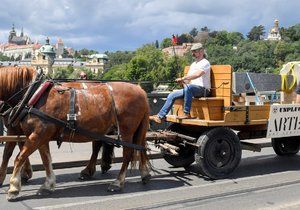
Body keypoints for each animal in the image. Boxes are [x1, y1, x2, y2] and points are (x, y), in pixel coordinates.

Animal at [0, 67, 150, 200]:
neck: (34, 94)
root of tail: (141, 90)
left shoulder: (38, 134)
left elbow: (19, 157)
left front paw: (13, 187)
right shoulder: (39, 136)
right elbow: (45, 159)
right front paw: (48, 184)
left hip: (126, 131)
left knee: (128, 153)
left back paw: (118, 182)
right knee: (138, 147)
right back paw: (144, 174)